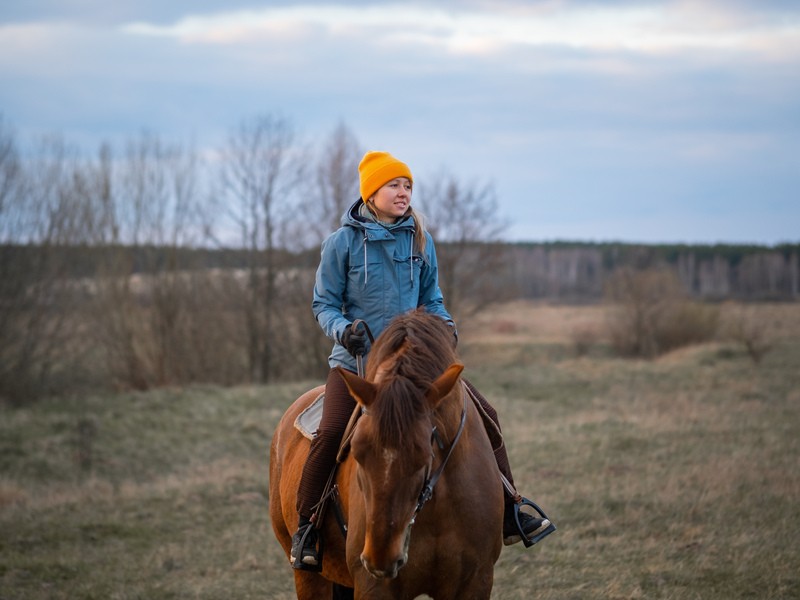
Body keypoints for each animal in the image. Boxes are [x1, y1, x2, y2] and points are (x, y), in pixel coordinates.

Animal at [268, 312, 506, 596]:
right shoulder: (373, 586)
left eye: (424, 456)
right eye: (357, 453)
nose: (379, 558)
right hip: (309, 576)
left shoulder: (476, 580)